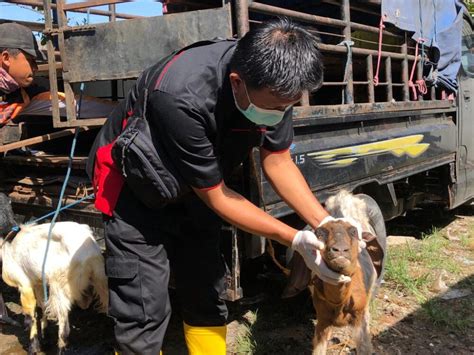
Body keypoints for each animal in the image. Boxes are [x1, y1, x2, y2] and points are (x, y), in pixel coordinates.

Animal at [0, 222, 108, 354]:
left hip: (60, 285)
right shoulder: (37, 282)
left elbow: (30, 318)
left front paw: (33, 347)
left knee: (64, 328)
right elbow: (42, 305)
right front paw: (45, 335)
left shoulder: (24, 284)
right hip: (100, 276)